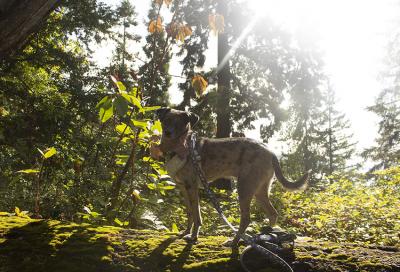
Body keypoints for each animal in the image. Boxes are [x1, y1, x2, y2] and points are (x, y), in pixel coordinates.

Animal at [152, 108, 308, 246]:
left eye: (180, 123)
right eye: (166, 121)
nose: (167, 133)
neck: (179, 147)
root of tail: (270, 151)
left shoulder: (192, 187)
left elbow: (197, 215)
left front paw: (193, 236)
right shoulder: (183, 187)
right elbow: (189, 212)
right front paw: (185, 232)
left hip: (244, 188)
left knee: (246, 219)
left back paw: (234, 242)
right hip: (259, 191)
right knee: (273, 213)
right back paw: (267, 235)